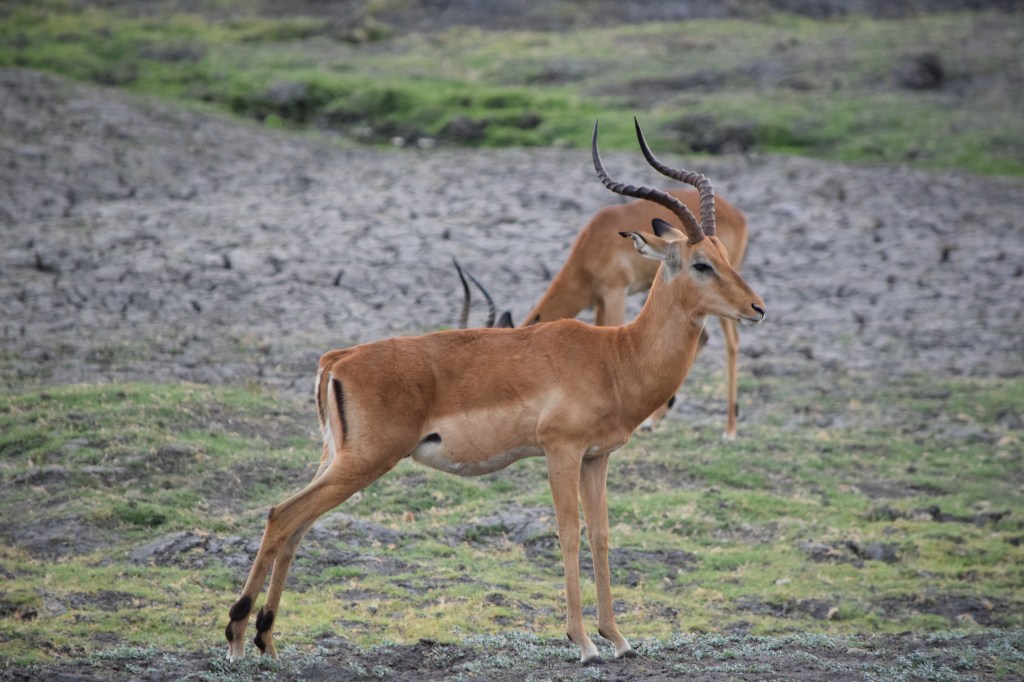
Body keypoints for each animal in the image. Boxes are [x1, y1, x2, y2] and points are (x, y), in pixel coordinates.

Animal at [223, 119, 765, 665]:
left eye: (723, 256)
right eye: (700, 264)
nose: (758, 308)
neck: (616, 356)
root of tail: (337, 359)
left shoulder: (596, 457)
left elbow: (602, 536)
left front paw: (617, 637)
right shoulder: (561, 451)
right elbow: (569, 533)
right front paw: (583, 641)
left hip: (336, 460)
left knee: (295, 525)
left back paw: (268, 640)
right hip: (364, 462)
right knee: (281, 515)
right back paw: (238, 636)